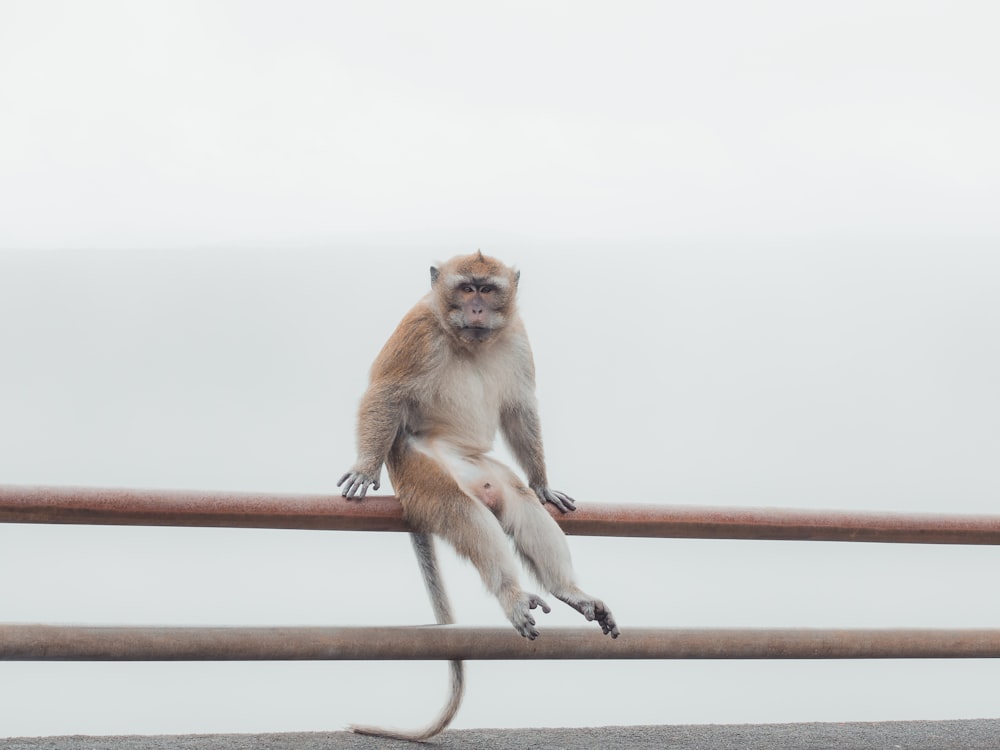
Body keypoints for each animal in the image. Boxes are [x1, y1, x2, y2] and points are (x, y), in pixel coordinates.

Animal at [340, 251, 612, 740]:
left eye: (488, 289)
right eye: (466, 288)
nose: (478, 309)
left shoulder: (518, 336)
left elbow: (520, 408)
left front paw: (544, 482)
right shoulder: (417, 329)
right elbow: (386, 393)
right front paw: (364, 467)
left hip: (482, 468)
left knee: (517, 499)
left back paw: (569, 590)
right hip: (418, 470)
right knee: (460, 509)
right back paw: (512, 594)